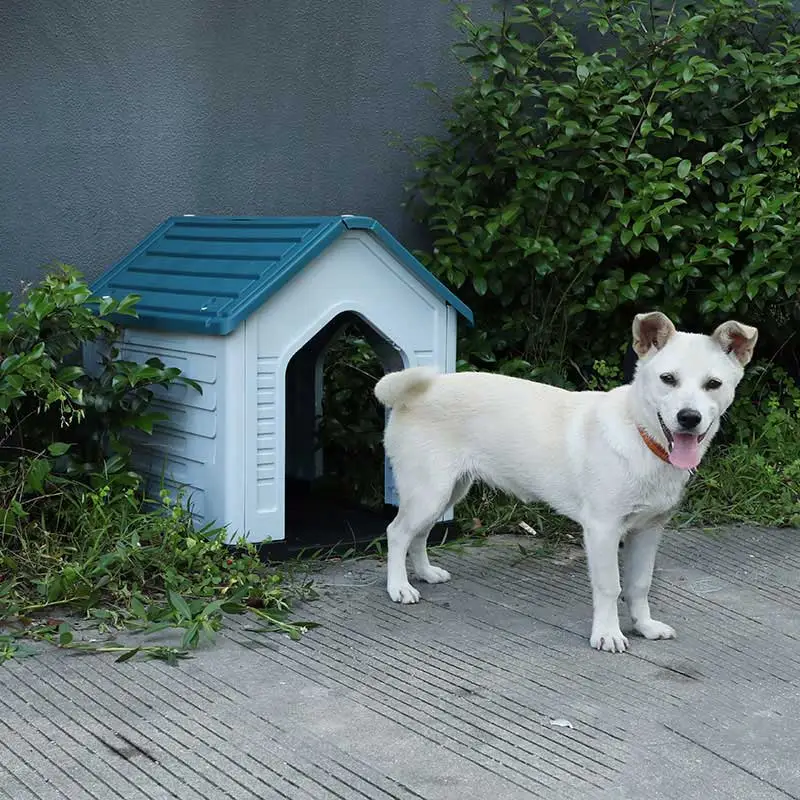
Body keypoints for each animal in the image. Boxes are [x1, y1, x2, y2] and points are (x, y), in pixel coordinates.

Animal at [376, 312, 756, 648]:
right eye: (668, 379)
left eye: (713, 384)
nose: (689, 418)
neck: (640, 438)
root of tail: (421, 390)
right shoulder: (602, 530)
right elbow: (610, 586)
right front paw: (608, 634)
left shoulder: (648, 530)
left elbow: (639, 585)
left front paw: (644, 626)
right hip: (429, 492)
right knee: (397, 532)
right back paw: (399, 587)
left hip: (447, 492)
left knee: (419, 534)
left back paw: (425, 573)